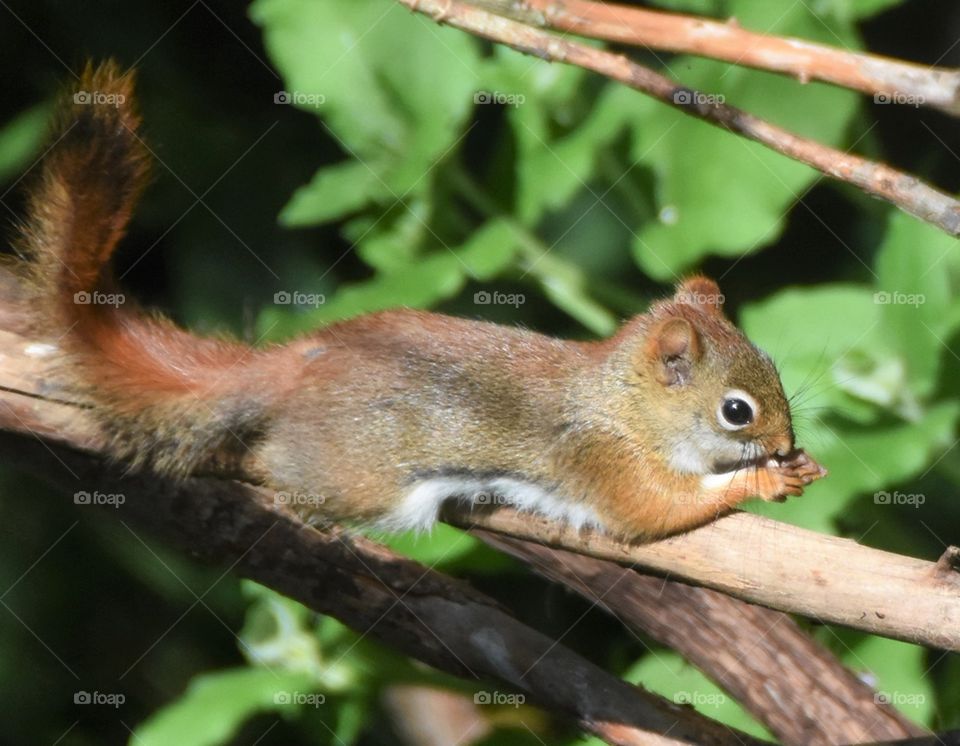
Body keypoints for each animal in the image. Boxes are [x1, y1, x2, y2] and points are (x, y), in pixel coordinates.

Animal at [7, 62, 824, 536]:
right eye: (736, 411)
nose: (787, 442)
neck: (621, 403)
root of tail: (296, 364)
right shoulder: (599, 460)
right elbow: (657, 511)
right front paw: (764, 478)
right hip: (355, 477)